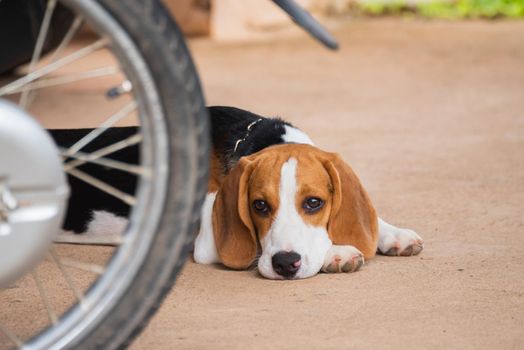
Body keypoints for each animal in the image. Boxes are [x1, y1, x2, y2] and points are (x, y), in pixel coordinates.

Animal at [194, 106, 424, 278]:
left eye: (313, 202)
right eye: (259, 205)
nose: (285, 264)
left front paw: (395, 234)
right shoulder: (206, 245)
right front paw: (336, 252)